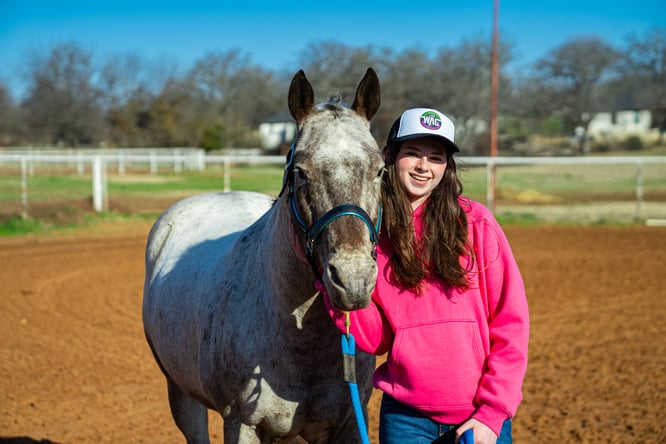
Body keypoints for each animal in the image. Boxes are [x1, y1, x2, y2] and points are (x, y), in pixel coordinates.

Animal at [142, 68, 383, 443]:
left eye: (380, 170)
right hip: (180, 393)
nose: (353, 278)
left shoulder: (346, 425)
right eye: (300, 171)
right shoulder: (241, 423)